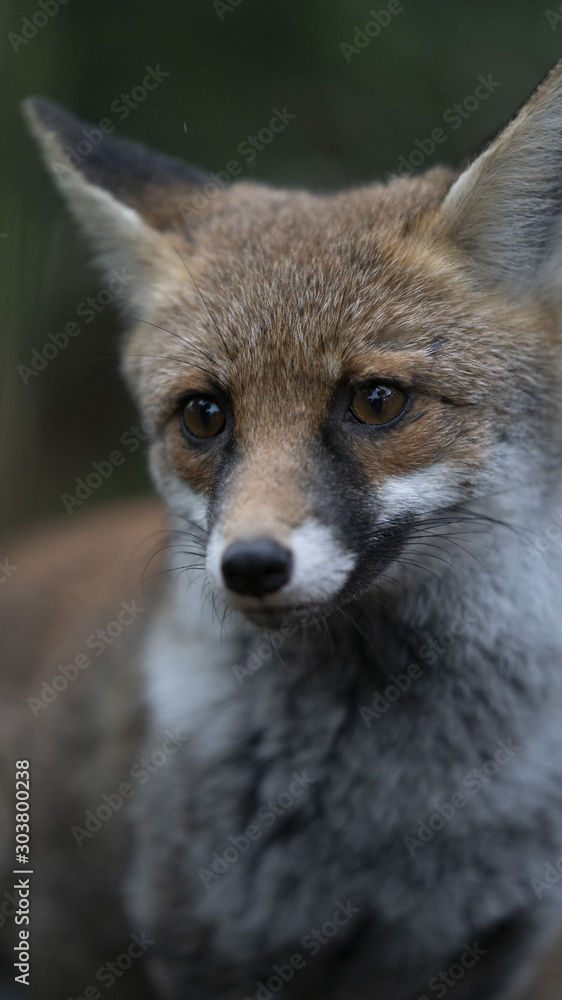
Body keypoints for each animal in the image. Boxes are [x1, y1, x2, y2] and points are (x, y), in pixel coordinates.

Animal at [2, 60, 560, 1000]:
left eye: (376, 401)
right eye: (204, 415)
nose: (252, 565)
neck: (393, 805)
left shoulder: (491, 941)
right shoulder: (203, 939)